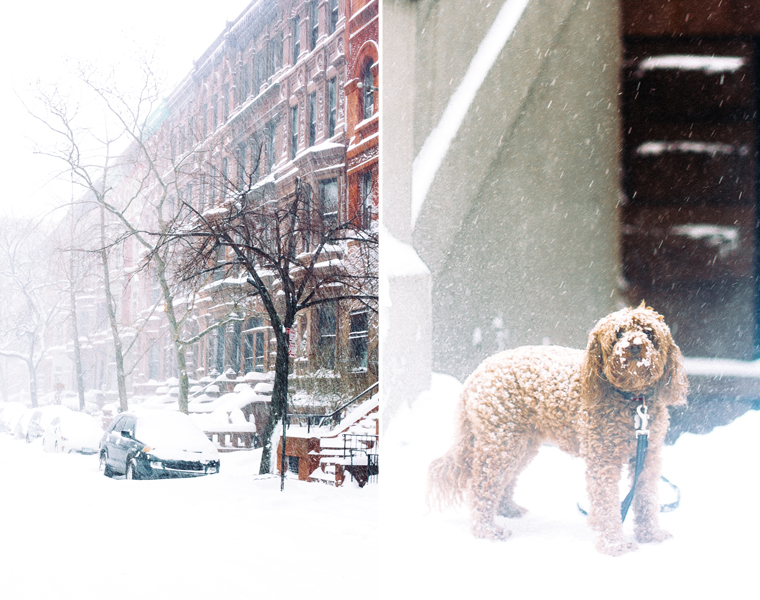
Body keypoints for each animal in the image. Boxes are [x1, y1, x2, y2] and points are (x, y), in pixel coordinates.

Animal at [428, 302, 688, 556]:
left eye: (649, 333)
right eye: (619, 334)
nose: (634, 346)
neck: (632, 400)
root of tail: (476, 373)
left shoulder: (647, 457)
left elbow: (646, 500)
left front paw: (651, 535)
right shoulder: (603, 460)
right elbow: (607, 505)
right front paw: (614, 545)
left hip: (521, 444)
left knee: (503, 481)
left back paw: (508, 509)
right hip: (502, 442)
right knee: (481, 485)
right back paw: (487, 530)